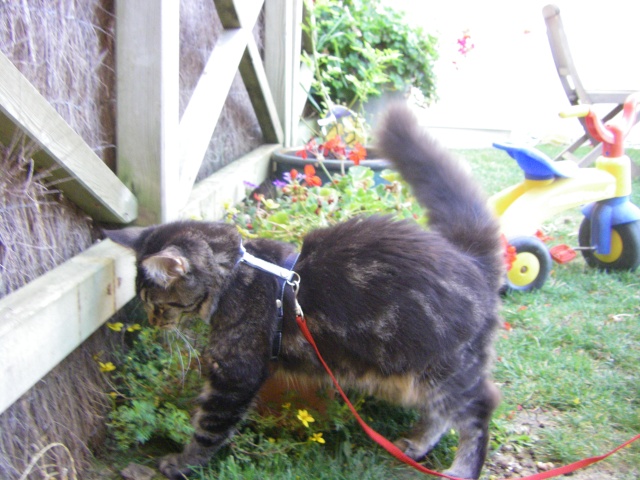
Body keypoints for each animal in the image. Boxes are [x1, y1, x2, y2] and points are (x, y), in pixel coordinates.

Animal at [105, 105, 504, 480]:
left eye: (156, 304)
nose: (154, 322)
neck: (236, 274)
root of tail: (472, 260)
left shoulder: (234, 374)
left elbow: (207, 429)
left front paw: (179, 463)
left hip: (444, 372)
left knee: (479, 411)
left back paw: (462, 469)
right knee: (442, 415)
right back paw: (417, 443)